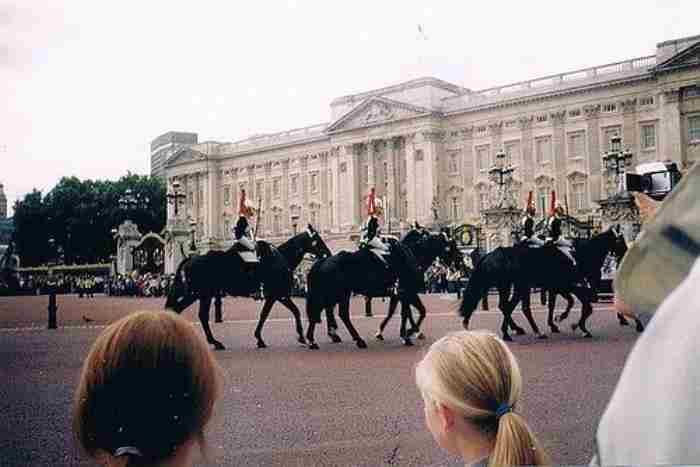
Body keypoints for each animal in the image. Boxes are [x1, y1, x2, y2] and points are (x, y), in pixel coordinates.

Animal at [166, 227, 330, 352]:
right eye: (317, 240)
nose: (328, 254)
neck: (280, 258)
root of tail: (190, 258)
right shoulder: (280, 295)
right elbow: (294, 311)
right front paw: (302, 337)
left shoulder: (274, 296)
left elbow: (264, 315)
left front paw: (259, 339)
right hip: (201, 294)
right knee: (192, 313)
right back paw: (214, 342)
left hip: (200, 294)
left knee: (189, 312)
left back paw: (213, 342)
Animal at [304, 230, 460, 352]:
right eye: (452, 246)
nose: (459, 263)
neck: (412, 255)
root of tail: (322, 261)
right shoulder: (407, 291)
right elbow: (415, 312)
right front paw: (409, 333)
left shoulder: (399, 294)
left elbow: (398, 312)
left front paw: (389, 332)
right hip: (340, 294)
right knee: (338, 313)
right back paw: (353, 339)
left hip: (335, 294)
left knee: (325, 311)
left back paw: (317, 339)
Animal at [462, 229, 628, 342]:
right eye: (620, 241)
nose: (625, 254)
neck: (580, 255)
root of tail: (489, 255)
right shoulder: (572, 286)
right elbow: (585, 306)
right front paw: (576, 325)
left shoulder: (561, 287)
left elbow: (561, 304)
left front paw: (559, 322)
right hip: (517, 286)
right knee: (513, 307)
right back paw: (520, 332)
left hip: (513, 286)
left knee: (510, 306)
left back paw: (519, 330)